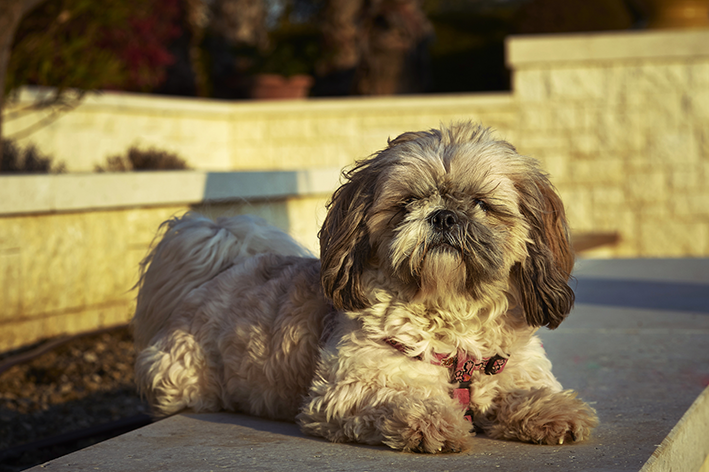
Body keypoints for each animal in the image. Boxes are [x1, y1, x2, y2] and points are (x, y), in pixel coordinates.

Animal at [133, 122, 596, 454]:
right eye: (407, 203)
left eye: (482, 204)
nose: (444, 215)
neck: (451, 313)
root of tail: (220, 270)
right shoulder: (346, 390)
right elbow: (399, 399)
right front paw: (433, 420)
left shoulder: (511, 367)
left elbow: (524, 391)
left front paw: (554, 410)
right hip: (181, 375)